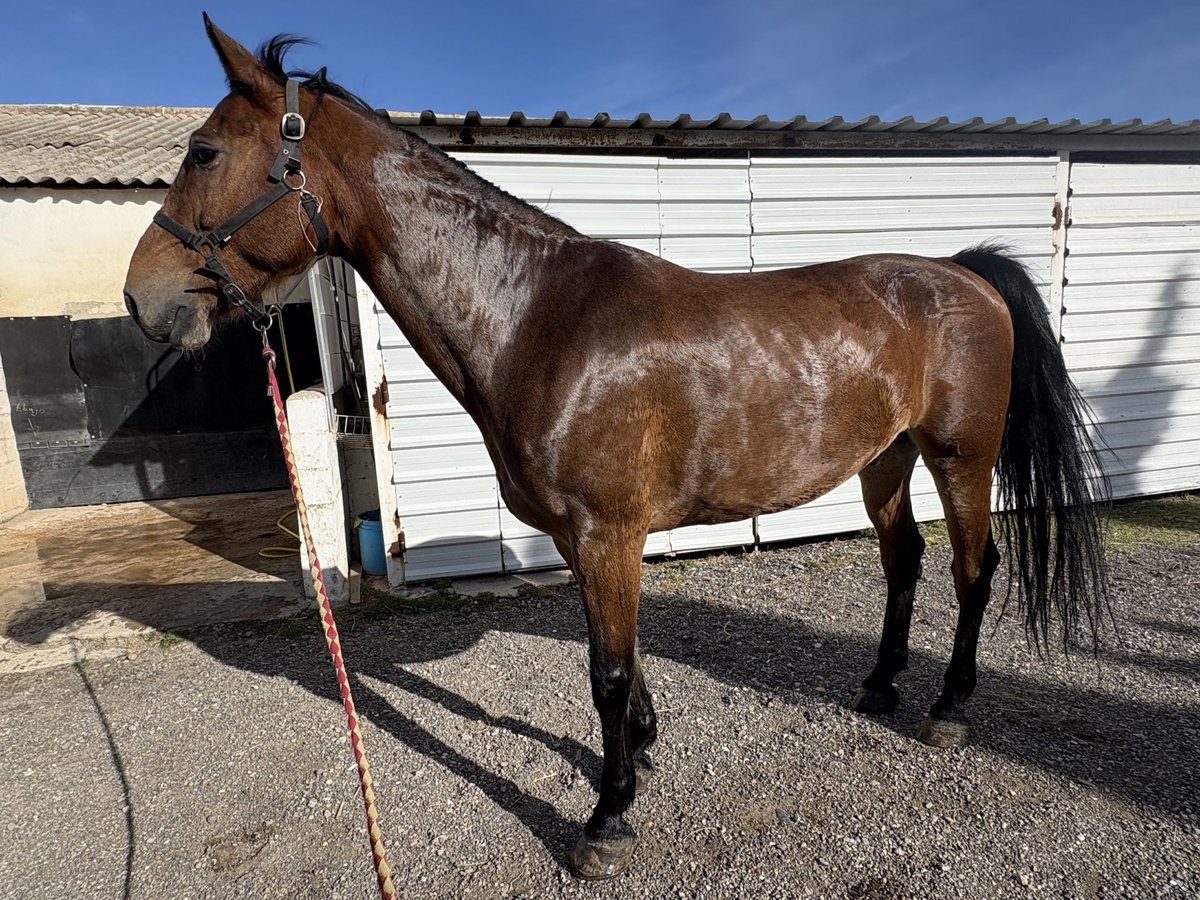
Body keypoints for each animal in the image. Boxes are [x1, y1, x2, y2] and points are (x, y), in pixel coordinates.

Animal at [123, 16, 1108, 879]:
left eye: (204, 152)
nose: (144, 301)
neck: (537, 319)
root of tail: (964, 274)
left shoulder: (607, 533)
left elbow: (603, 671)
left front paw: (607, 816)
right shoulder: (583, 538)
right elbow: (621, 661)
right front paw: (640, 750)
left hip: (959, 457)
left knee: (972, 572)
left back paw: (948, 707)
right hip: (884, 461)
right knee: (904, 563)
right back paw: (878, 686)